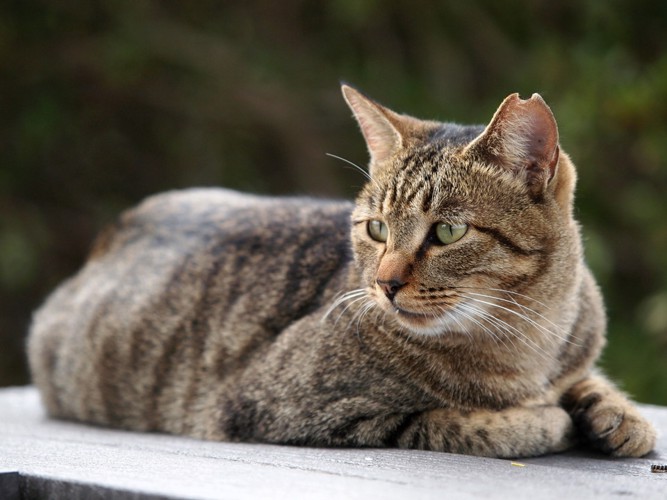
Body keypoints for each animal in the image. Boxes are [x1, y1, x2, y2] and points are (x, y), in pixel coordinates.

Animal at [27, 85, 656, 458]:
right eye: (376, 228)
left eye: (448, 232)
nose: (386, 283)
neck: (524, 339)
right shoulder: (282, 406)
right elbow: (450, 421)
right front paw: (540, 422)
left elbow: (589, 381)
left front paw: (619, 416)